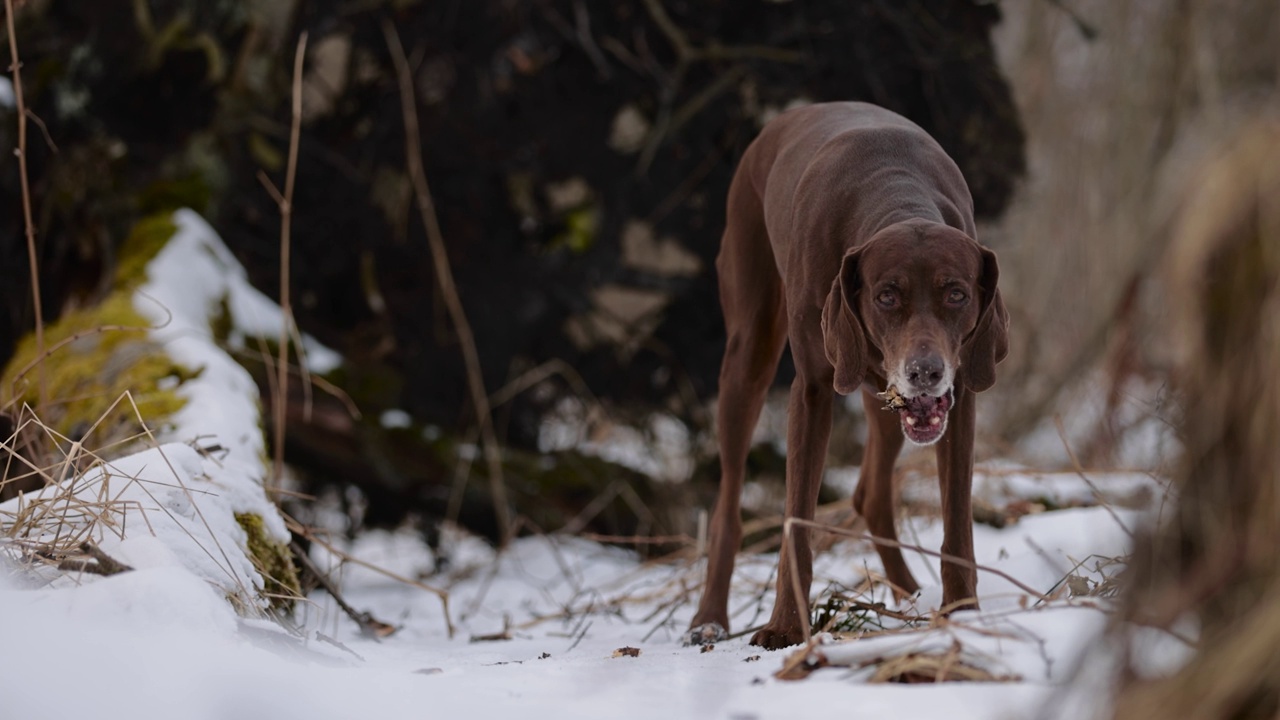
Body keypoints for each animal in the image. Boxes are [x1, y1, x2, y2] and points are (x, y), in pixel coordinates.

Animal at [686, 102, 1003, 650]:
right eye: (887, 295)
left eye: (957, 293)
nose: (925, 372)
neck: (896, 194)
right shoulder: (812, 389)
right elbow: (797, 524)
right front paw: (785, 628)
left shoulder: (960, 397)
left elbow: (958, 524)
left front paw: (962, 614)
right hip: (747, 357)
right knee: (727, 506)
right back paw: (709, 618)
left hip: (882, 392)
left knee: (870, 494)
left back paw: (909, 597)